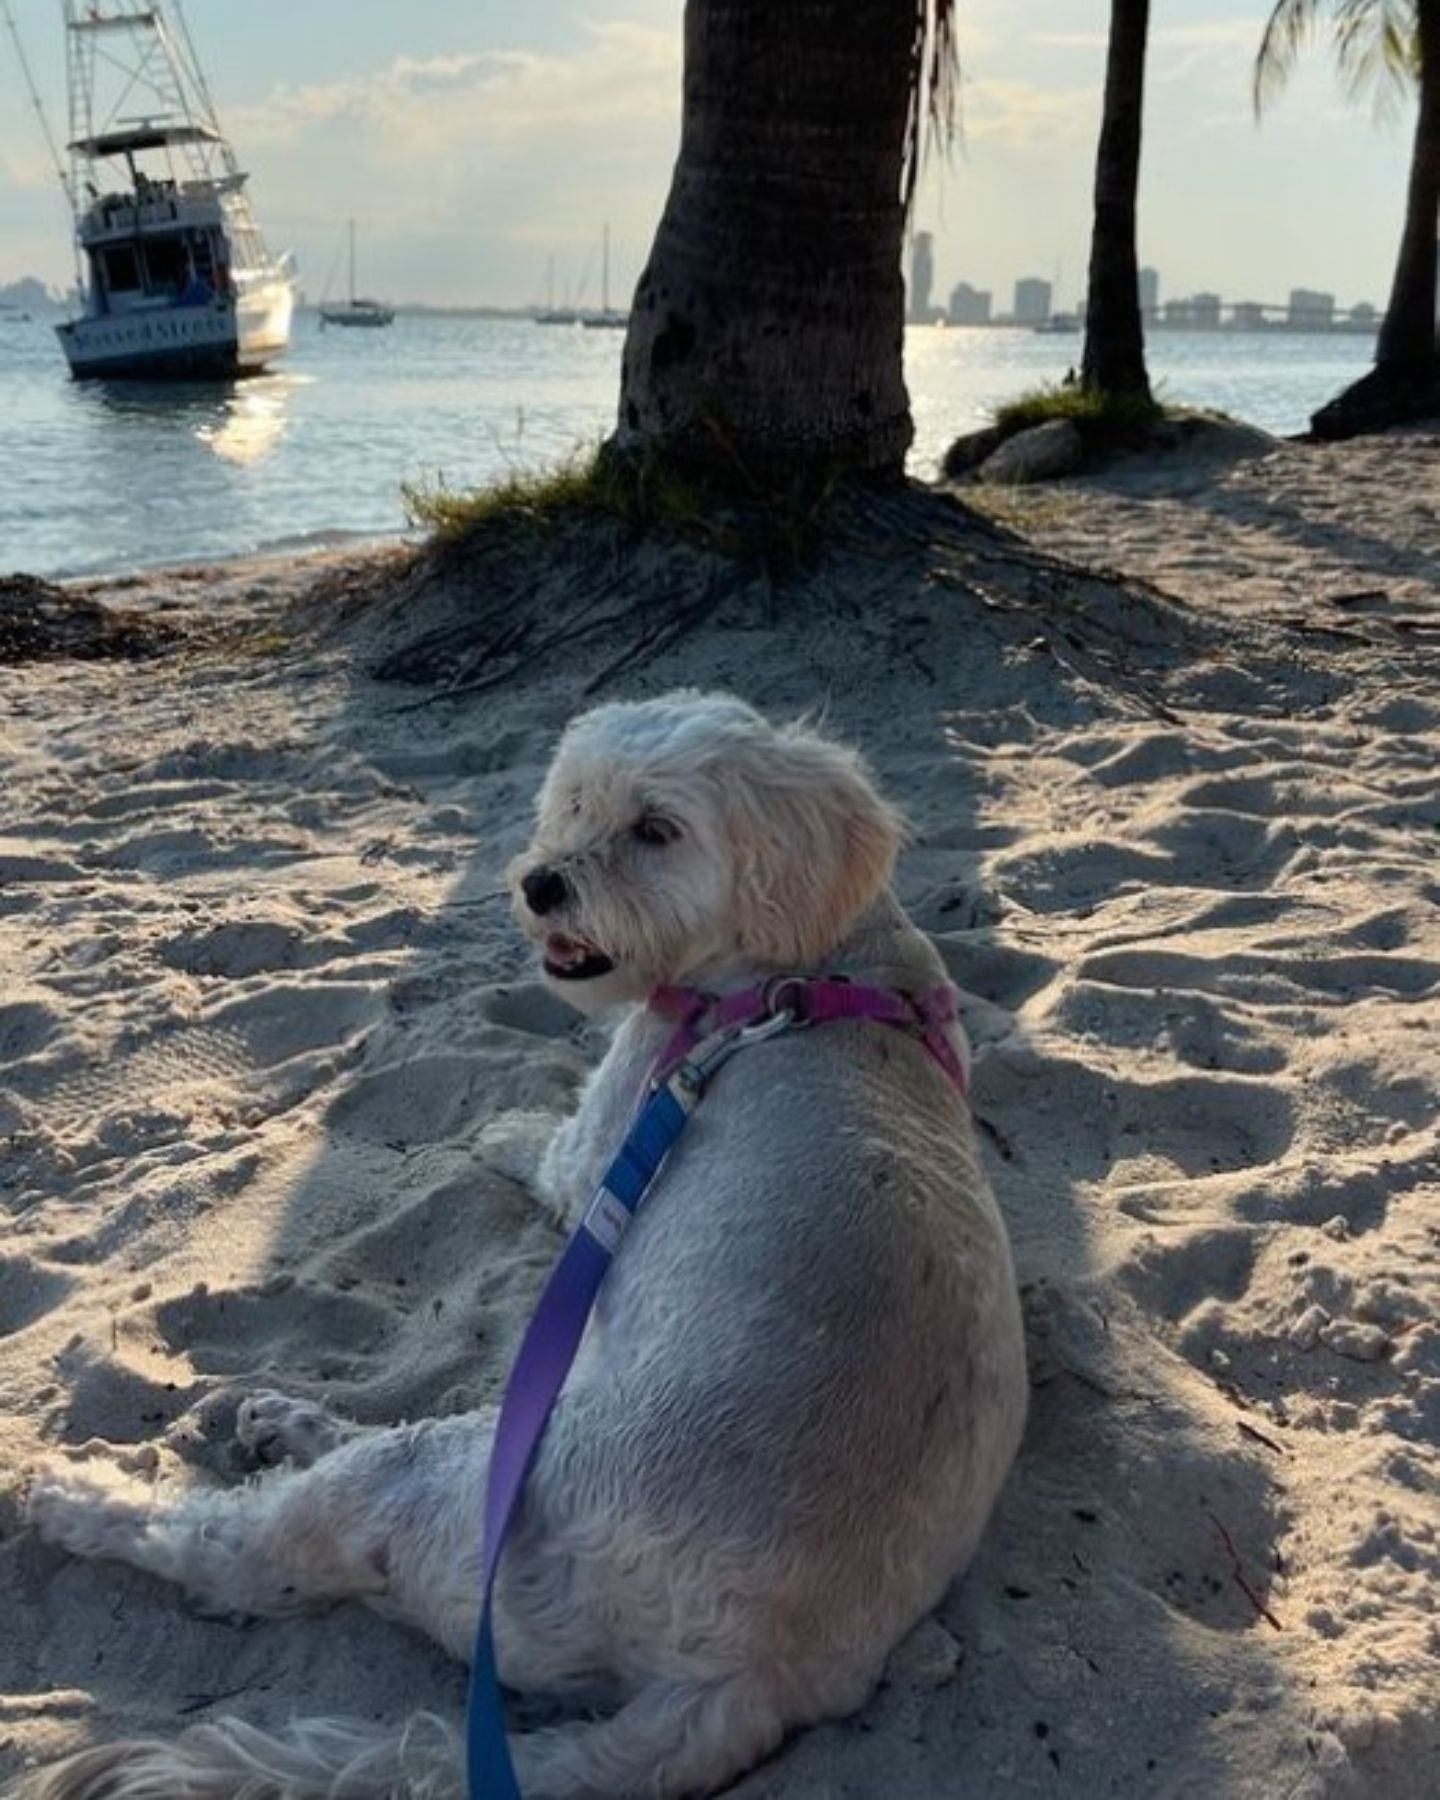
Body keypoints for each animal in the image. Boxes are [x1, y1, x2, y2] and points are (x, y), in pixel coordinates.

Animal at [11, 691, 1022, 1800]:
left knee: (238, 1548)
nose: (542, 883)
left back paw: (84, 1495)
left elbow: (545, 1151)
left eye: (656, 831)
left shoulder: (614, 1121)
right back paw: (286, 1423)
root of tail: (751, 1675)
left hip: (441, 1491)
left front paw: (501, 1131)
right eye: (576, 802)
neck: (816, 963)